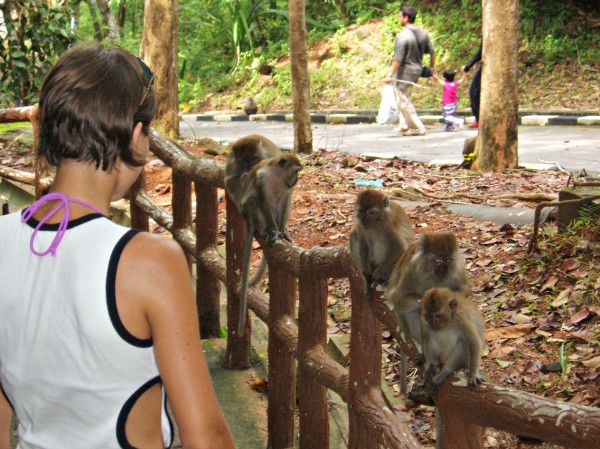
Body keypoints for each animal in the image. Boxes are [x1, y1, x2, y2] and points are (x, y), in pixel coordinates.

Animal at [237, 153, 302, 332]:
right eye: (296, 171)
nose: (297, 180)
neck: (278, 176)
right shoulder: (262, 179)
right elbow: (263, 201)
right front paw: (275, 232)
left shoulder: (286, 188)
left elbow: (285, 201)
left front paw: (282, 232)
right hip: (249, 213)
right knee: (253, 201)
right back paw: (267, 231)